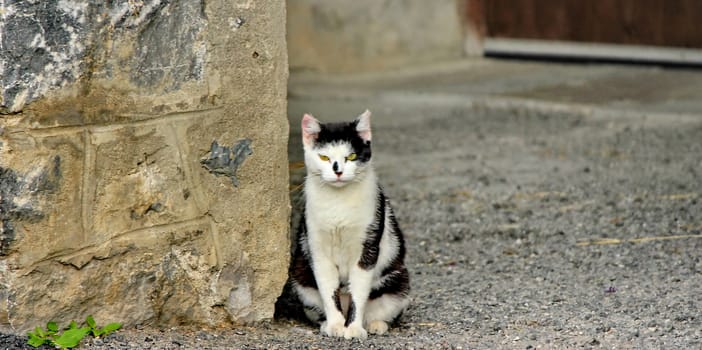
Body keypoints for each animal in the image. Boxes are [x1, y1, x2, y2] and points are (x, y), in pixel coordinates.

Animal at [292, 110, 412, 340]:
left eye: (352, 157)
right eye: (324, 157)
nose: (338, 171)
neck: (338, 203)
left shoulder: (367, 249)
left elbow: (359, 293)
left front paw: (354, 329)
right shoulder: (317, 250)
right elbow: (329, 292)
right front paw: (336, 325)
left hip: (399, 281)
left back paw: (376, 325)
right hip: (300, 278)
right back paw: (325, 324)